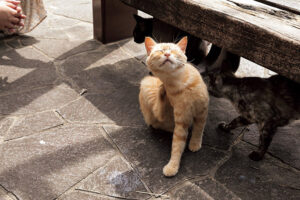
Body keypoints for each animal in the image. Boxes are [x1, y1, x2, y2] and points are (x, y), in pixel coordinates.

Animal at [138, 36, 209, 177]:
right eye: (160, 51)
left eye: (173, 50)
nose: (167, 54)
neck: (181, 84)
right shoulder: (181, 122)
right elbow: (177, 145)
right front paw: (172, 166)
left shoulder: (202, 111)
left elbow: (198, 130)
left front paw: (195, 144)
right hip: (147, 85)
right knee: (158, 113)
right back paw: (161, 91)